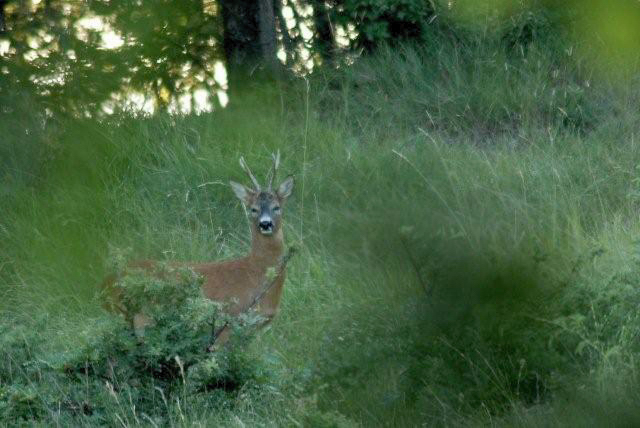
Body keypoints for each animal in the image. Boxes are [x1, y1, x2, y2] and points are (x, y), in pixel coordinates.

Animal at [102, 152, 296, 346]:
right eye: (253, 209)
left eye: (277, 207)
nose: (265, 224)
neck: (255, 273)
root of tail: (105, 283)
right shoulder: (225, 322)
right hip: (141, 319)